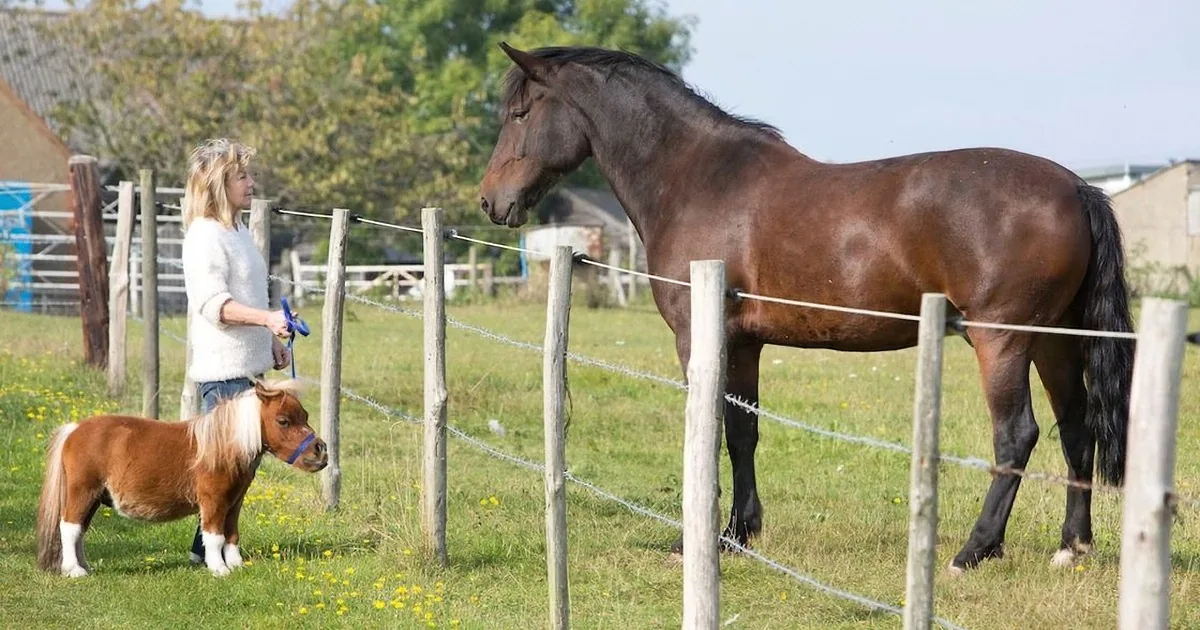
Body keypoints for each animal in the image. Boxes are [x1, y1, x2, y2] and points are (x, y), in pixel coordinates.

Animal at [35, 378, 328, 578]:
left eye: (305, 416)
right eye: (283, 421)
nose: (320, 451)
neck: (222, 446)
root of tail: (74, 429)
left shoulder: (235, 501)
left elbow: (232, 533)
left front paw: (236, 564)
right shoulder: (213, 501)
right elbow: (214, 535)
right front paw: (219, 569)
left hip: (94, 498)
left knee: (79, 531)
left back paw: (85, 566)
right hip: (82, 492)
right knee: (70, 527)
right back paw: (74, 570)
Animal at [478, 43, 1135, 575]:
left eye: (520, 113)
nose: (490, 200)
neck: (699, 179)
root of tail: (1077, 187)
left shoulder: (699, 337)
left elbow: (710, 430)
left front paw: (698, 541)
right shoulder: (744, 342)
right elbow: (742, 431)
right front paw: (738, 533)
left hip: (1001, 339)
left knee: (1017, 436)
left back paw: (973, 551)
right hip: (1052, 339)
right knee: (1076, 429)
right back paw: (1071, 546)